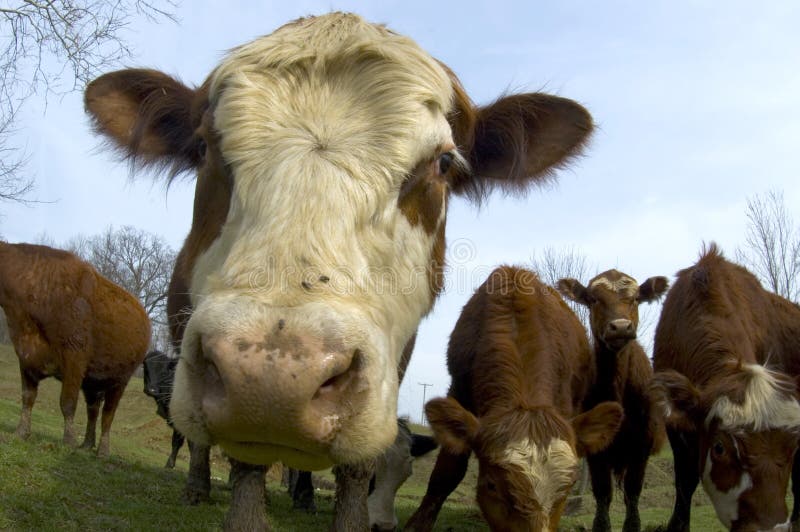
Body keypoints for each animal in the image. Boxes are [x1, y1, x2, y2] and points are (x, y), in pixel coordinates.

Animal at [0, 241, 152, 458]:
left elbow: (67, 402)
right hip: (94, 381)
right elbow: (27, 398)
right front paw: (21, 432)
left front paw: (69, 441)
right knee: (93, 411)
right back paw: (87, 444)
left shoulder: (74, 359)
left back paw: (103, 450)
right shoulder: (26, 357)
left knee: (108, 414)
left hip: (120, 380)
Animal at [83, 12, 592, 532]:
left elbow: (359, 464)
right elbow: (245, 459)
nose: (273, 380)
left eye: (444, 162)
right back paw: (198, 487)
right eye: (204, 147)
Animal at [556, 270, 668, 532]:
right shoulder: (597, 446)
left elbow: (632, 492)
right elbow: (602, 492)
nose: (620, 327)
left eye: (636, 299)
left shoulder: (642, 443)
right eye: (593, 299)